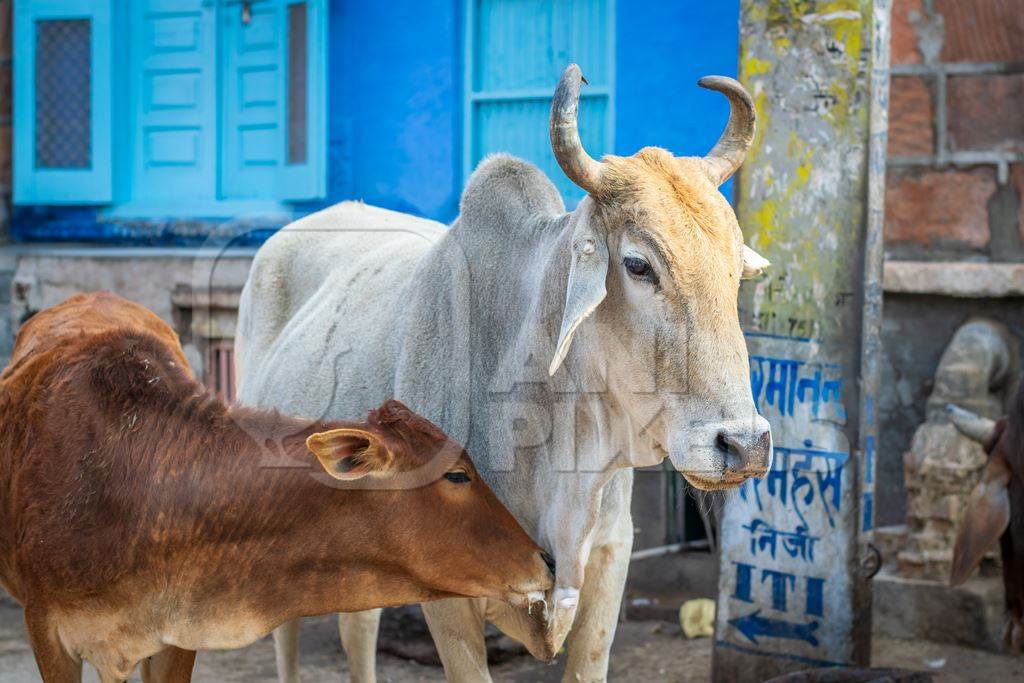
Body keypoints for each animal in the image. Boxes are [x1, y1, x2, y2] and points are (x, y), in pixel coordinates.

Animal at [235, 65, 770, 683]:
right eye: (638, 265)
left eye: (734, 269)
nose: (744, 444)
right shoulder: (447, 600)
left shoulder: (609, 562)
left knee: (358, 626)